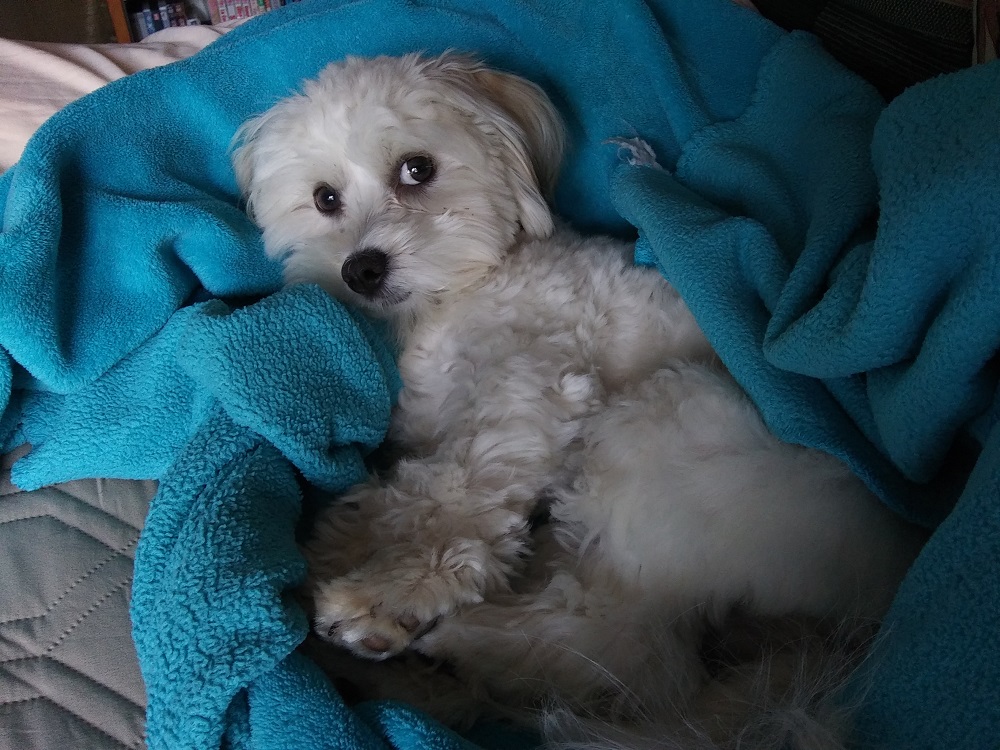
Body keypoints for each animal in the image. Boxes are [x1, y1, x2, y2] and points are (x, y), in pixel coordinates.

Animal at [232, 53, 920, 748]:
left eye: (417, 168)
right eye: (325, 198)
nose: (361, 269)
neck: (462, 294)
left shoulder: (534, 392)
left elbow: (458, 490)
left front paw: (389, 591)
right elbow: (400, 494)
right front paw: (335, 552)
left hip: (662, 429)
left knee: (625, 651)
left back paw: (445, 644)